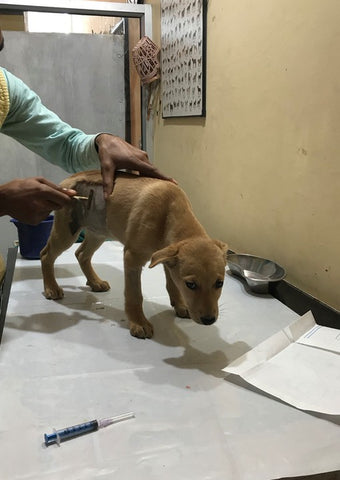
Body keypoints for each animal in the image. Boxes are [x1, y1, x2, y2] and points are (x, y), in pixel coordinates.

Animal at [40, 171, 228, 340]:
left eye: (219, 283)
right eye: (191, 285)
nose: (209, 320)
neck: (169, 212)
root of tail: (69, 179)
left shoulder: (166, 258)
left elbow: (172, 284)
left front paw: (180, 305)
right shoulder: (132, 258)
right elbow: (135, 295)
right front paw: (139, 323)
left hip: (98, 232)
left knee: (81, 254)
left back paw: (95, 282)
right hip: (66, 231)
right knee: (46, 255)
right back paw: (52, 288)